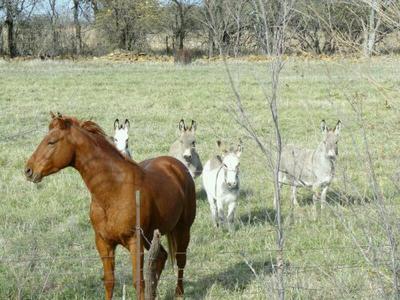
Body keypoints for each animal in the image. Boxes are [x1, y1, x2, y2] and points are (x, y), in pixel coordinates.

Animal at [24, 113, 196, 300]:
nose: (28, 170)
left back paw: (179, 293)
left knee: (180, 260)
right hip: (151, 236)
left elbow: (138, 282)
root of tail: (177, 166)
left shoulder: (135, 242)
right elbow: (109, 281)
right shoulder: (103, 242)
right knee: (161, 257)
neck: (114, 190)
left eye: (52, 142)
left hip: (182, 229)